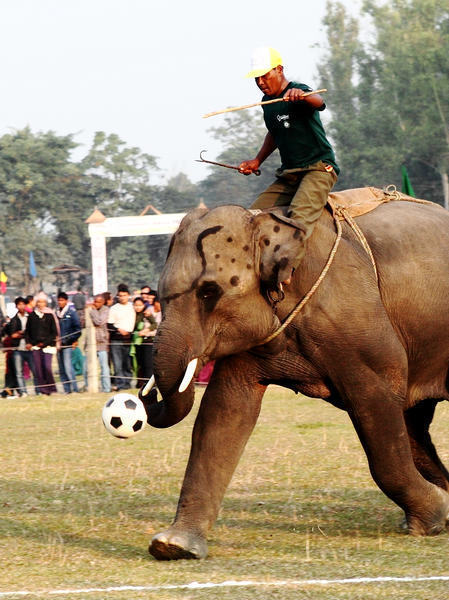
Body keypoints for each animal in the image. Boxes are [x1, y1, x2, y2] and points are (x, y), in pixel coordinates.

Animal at [142, 196, 448, 556]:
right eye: (159, 294)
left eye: (208, 292)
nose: (145, 398)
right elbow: (223, 413)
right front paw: (173, 545)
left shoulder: (355, 326)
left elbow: (377, 410)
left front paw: (435, 513)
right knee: (415, 423)